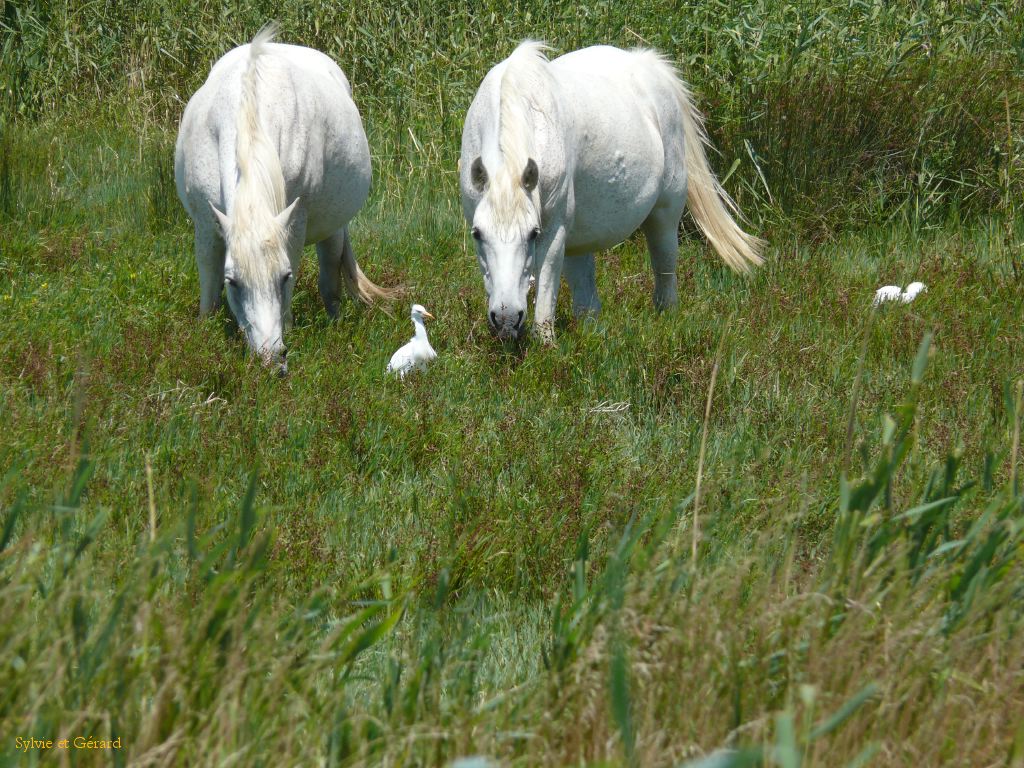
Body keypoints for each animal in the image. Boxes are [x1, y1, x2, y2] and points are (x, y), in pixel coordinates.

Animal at [174, 26, 389, 373]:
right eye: (232, 282)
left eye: (284, 277)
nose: (271, 358)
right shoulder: (207, 226)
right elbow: (208, 282)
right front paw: (204, 332)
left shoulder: (294, 223)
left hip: (332, 229)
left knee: (330, 276)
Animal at [459, 41, 765, 342]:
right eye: (477, 234)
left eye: (532, 234)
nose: (507, 317)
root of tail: (650, 65)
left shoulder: (552, 232)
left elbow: (545, 293)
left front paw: (545, 344)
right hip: (577, 240)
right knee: (588, 302)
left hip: (664, 218)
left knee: (664, 274)